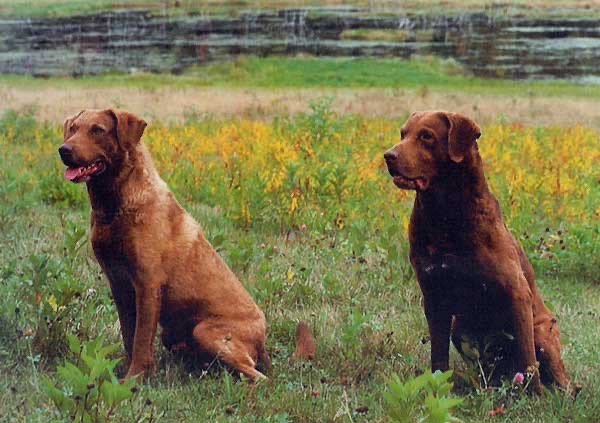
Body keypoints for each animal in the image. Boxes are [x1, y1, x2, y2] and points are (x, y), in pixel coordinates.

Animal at [58, 109, 270, 380]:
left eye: (97, 130)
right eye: (73, 128)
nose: (63, 150)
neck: (115, 208)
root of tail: (263, 339)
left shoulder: (148, 284)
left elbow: (140, 341)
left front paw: (134, 380)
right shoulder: (118, 284)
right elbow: (128, 336)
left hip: (205, 331)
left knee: (259, 377)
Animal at [384, 110, 572, 394]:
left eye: (426, 136)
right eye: (402, 133)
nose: (388, 156)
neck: (445, 215)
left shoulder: (517, 293)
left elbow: (528, 359)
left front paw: (535, 396)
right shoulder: (434, 295)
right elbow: (438, 357)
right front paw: (438, 391)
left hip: (542, 331)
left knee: (563, 381)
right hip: (458, 327)